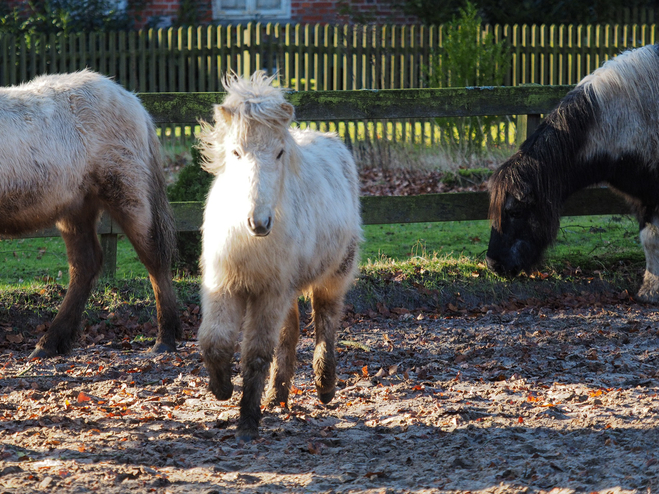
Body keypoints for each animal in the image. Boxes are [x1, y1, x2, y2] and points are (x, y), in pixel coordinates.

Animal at [0, 70, 180, 356]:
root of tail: (132, 101)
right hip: (76, 209)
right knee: (86, 264)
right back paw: (51, 342)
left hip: (128, 195)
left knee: (155, 257)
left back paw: (165, 339)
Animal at [197, 71, 360, 442]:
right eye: (236, 151)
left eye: (280, 152)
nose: (259, 222)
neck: (249, 242)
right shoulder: (223, 286)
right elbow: (215, 341)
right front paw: (222, 389)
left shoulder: (270, 293)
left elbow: (256, 354)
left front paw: (247, 421)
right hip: (286, 290)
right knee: (291, 332)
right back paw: (277, 396)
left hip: (332, 276)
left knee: (325, 321)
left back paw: (324, 386)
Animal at [488, 44, 659, 302]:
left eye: (515, 212)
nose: (493, 264)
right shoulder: (642, 196)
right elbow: (648, 239)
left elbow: (652, 239)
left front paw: (651, 290)